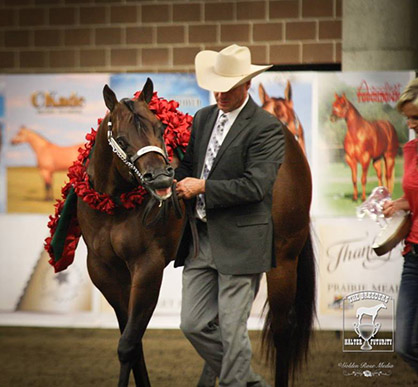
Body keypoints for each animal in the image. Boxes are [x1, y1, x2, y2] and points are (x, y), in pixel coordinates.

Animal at [77, 79, 314, 387]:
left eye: (160, 128)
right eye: (121, 138)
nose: (162, 178)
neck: (114, 207)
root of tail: (289, 146)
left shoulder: (148, 267)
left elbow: (128, 344)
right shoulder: (105, 271)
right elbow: (132, 342)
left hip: (284, 260)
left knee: (282, 331)